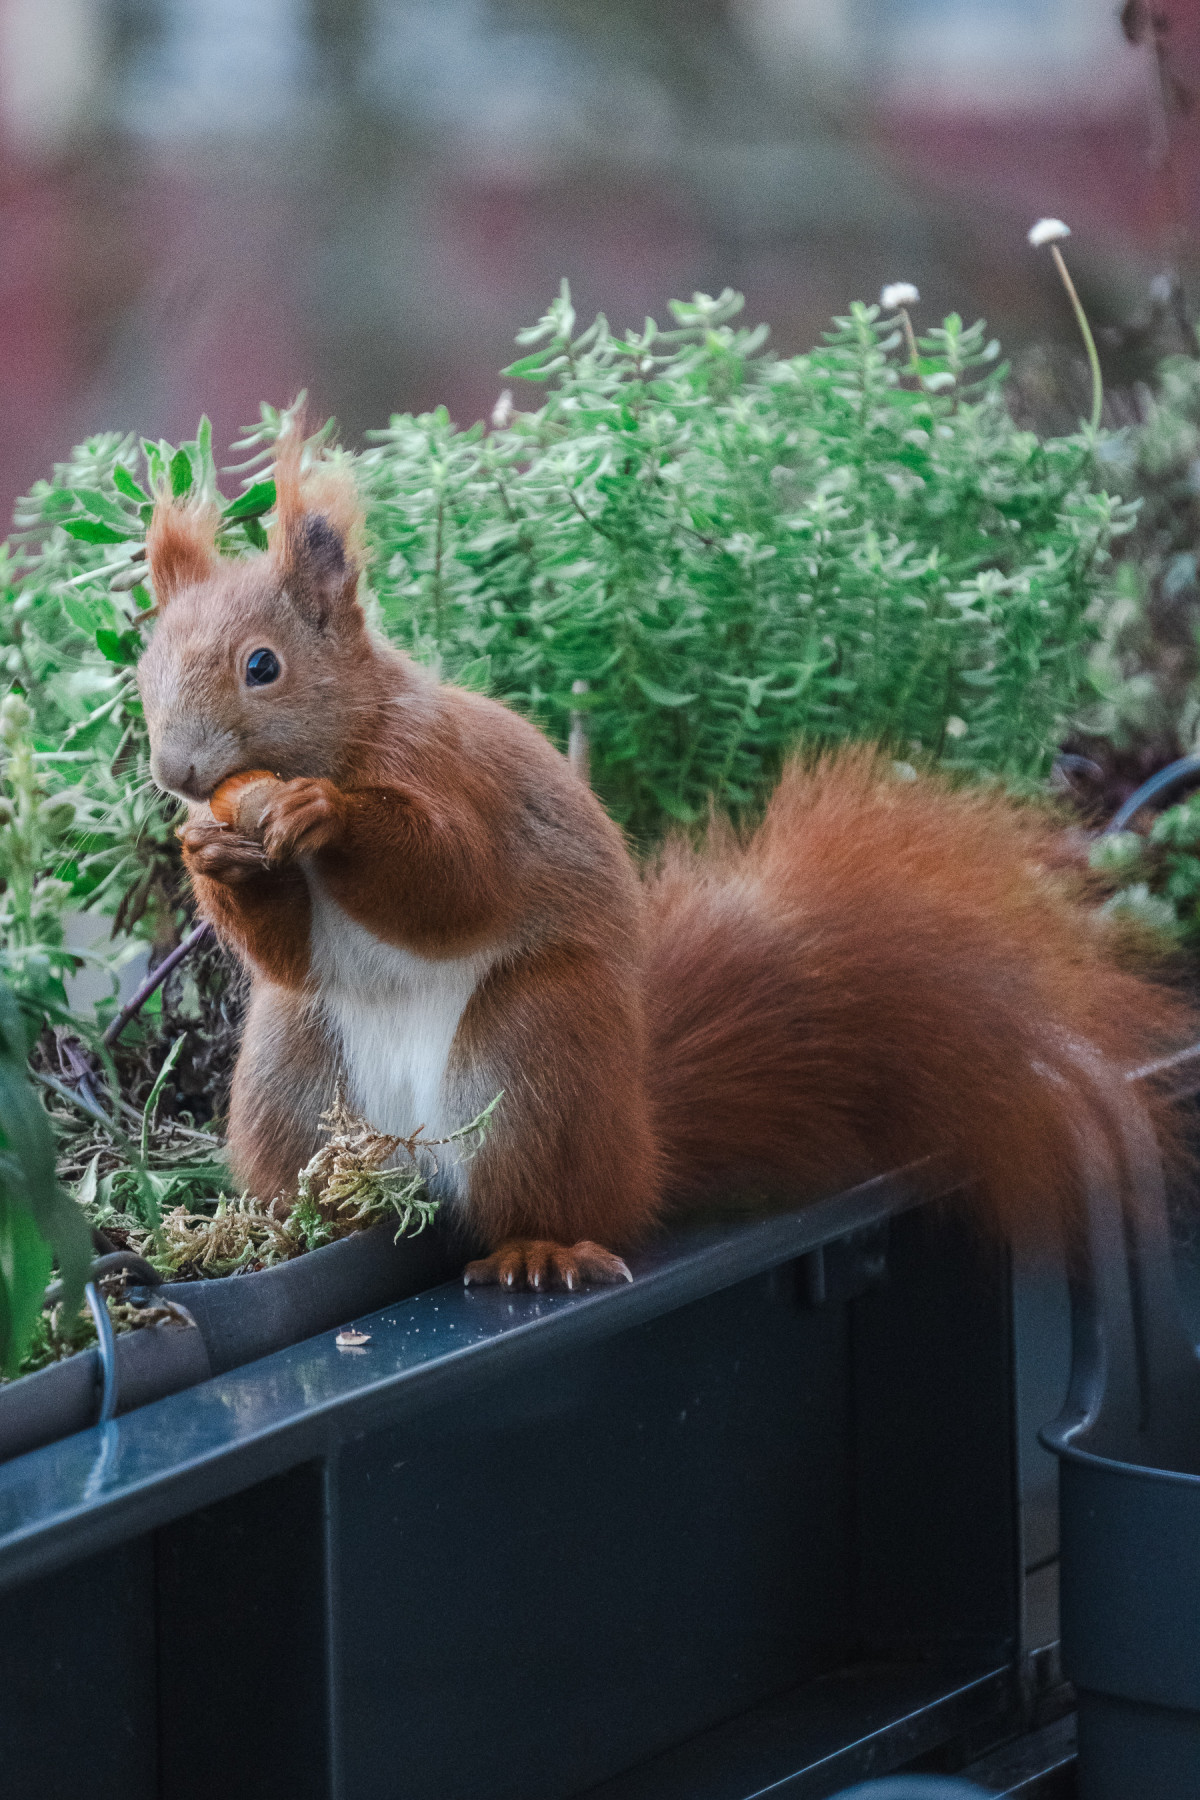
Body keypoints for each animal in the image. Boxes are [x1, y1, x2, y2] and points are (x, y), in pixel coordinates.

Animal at [135, 432, 1187, 1296]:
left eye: (263, 666)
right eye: (145, 670)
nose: (176, 773)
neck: (353, 736)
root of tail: (640, 1149)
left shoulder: (465, 786)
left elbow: (452, 885)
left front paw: (326, 815)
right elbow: (287, 952)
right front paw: (210, 855)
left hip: (535, 1061)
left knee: (554, 1202)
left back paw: (538, 1250)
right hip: (291, 1077)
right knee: (331, 1177)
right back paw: (302, 1227)